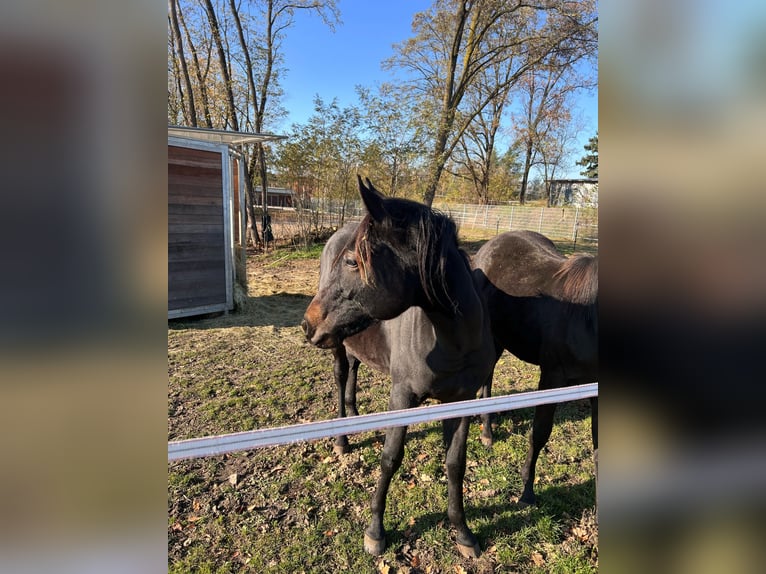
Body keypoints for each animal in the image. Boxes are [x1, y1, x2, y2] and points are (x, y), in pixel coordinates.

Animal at [302, 177, 496, 558]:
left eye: (352, 261)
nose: (307, 323)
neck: (452, 341)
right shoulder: (402, 397)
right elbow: (391, 457)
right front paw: (375, 531)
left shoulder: (462, 400)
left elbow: (455, 463)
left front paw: (463, 532)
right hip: (337, 346)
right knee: (341, 378)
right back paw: (342, 439)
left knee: (356, 372)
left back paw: (355, 411)